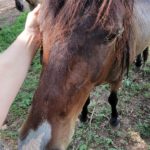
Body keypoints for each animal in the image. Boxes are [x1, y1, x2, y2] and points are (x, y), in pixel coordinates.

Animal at [18, 0, 150, 149]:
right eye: (41, 28)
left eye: (112, 35)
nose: (34, 142)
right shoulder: (86, 85)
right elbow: (86, 101)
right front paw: (84, 116)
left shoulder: (117, 78)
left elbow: (113, 99)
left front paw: (114, 119)